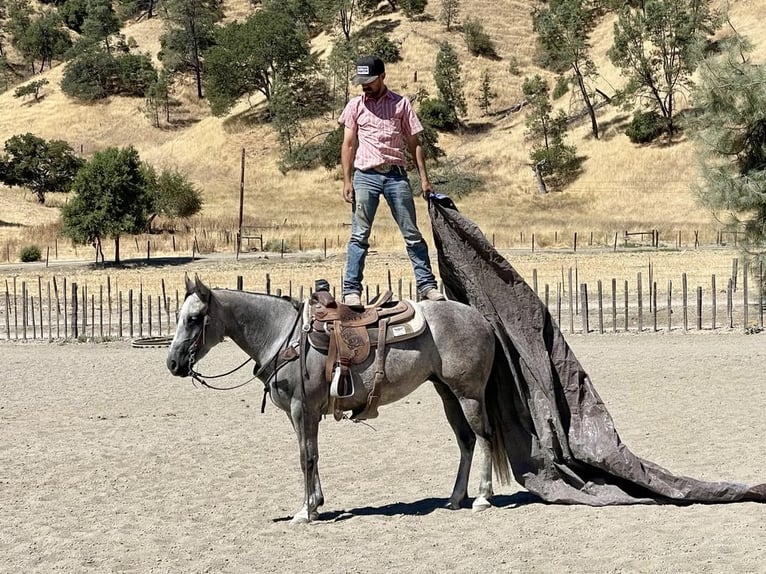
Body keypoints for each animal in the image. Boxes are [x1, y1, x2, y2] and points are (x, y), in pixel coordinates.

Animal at [166, 276, 510, 524]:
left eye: (194, 318)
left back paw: (482, 497)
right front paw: (316, 504)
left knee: (484, 437)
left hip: (468, 394)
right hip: (447, 394)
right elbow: (313, 454)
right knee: (466, 441)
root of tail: (481, 318)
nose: (172, 363)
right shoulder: (301, 414)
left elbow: (305, 457)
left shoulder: (301, 408)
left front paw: (305, 512)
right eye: (180, 316)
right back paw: (455, 498)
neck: (284, 336)